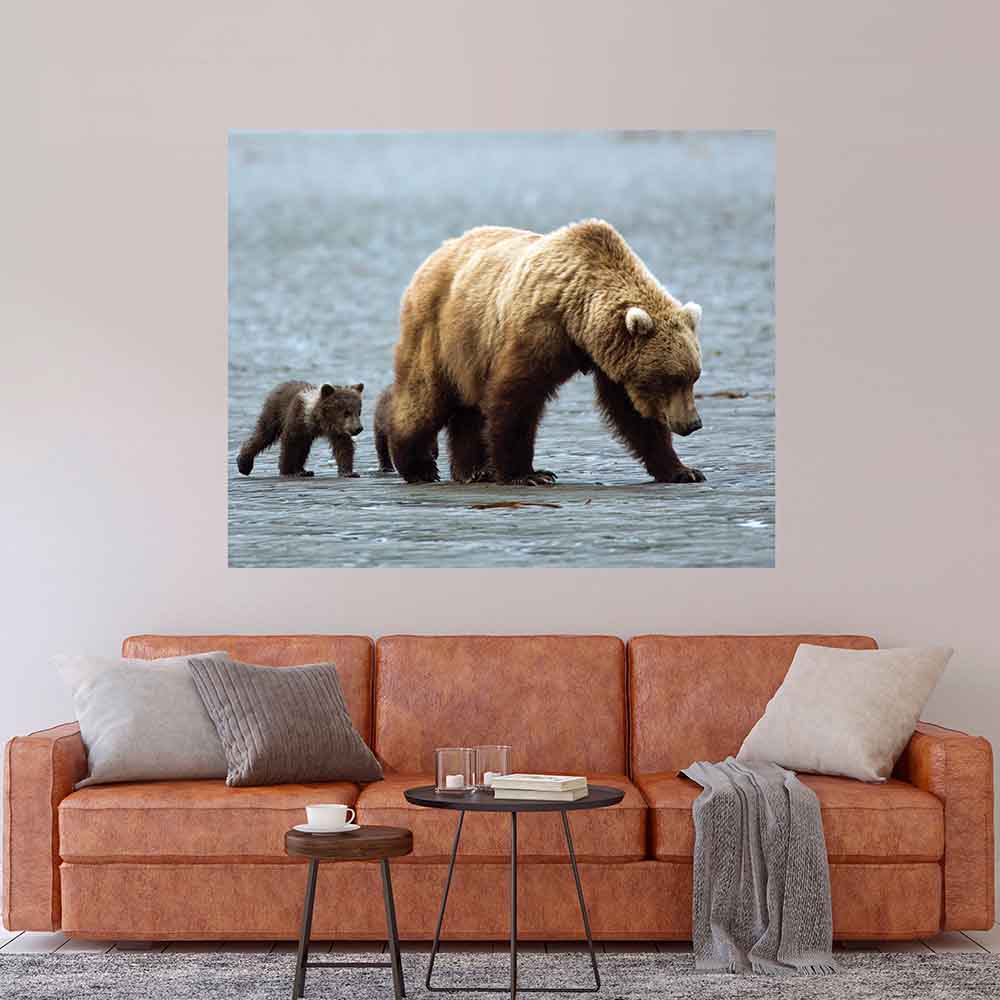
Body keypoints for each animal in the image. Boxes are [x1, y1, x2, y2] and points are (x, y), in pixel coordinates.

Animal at [384, 220, 705, 486]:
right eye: (670, 379)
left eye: (693, 377)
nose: (693, 423)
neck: (578, 319)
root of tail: (437, 252)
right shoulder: (540, 330)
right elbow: (516, 397)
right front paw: (530, 474)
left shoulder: (610, 358)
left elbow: (632, 413)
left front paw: (683, 470)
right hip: (441, 332)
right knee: (425, 396)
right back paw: (418, 466)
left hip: (471, 351)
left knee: (468, 409)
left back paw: (474, 470)